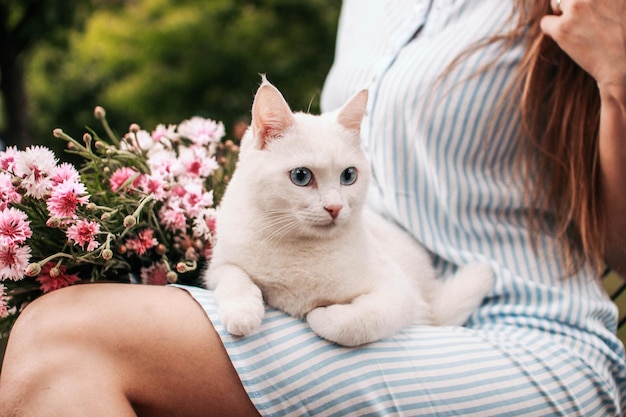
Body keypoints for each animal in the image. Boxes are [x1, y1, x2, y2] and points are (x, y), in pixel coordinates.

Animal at [201, 77, 492, 344]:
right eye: (301, 176)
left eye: (349, 175)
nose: (335, 207)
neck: (301, 249)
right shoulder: (218, 266)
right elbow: (235, 277)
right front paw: (242, 314)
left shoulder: (399, 296)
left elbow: (352, 324)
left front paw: (318, 313)